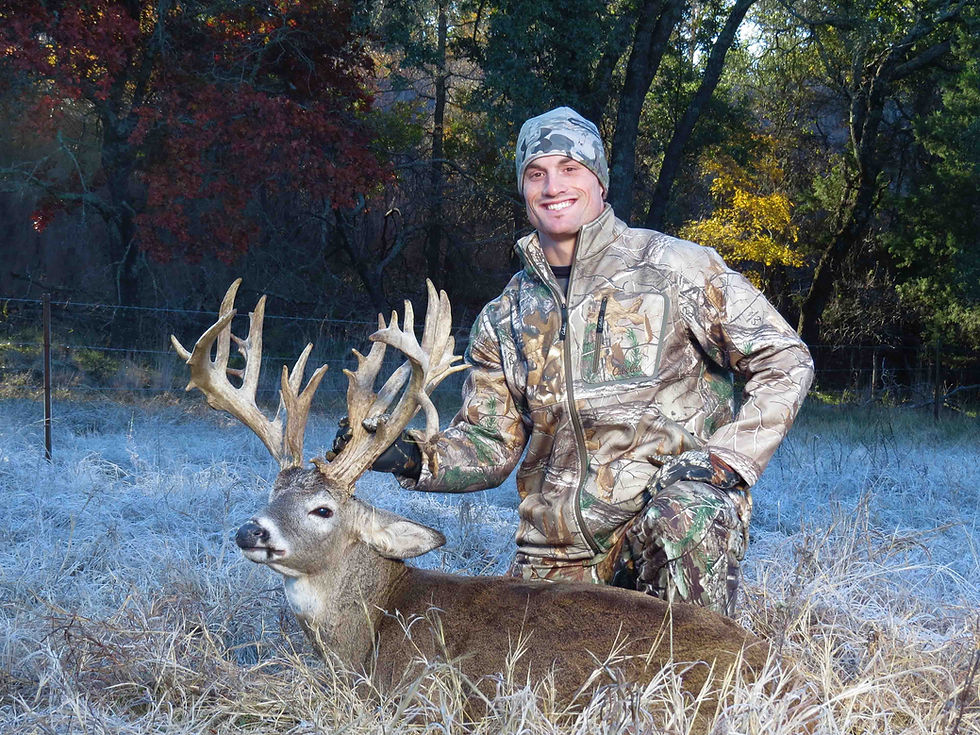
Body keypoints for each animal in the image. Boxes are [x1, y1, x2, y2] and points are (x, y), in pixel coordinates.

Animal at [171, 279, 793, 728]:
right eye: (272, 494)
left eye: (323, 509)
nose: (250, 532)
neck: (370, 630)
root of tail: (787, 674)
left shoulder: (424, 692)